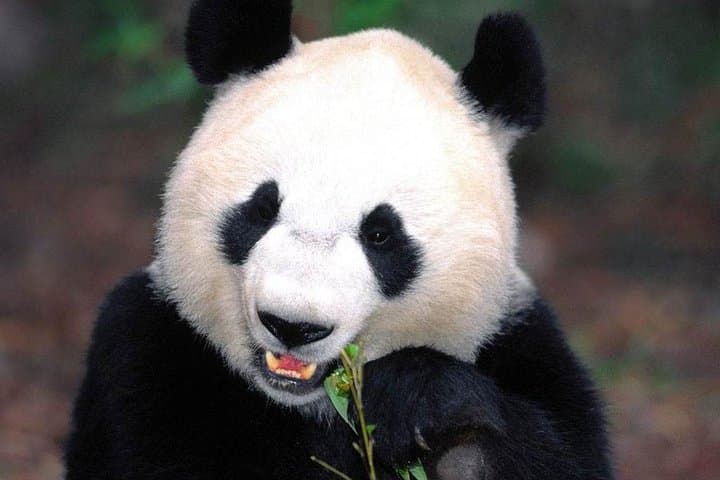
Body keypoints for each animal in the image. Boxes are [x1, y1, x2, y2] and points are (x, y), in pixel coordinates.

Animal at [65, 1, 612, 479]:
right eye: (262, 209)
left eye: (380, 234)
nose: (292, 325)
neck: (307, 405)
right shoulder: (149, 351)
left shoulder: (520, 340)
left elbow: (556, 453)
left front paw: (417, 403)